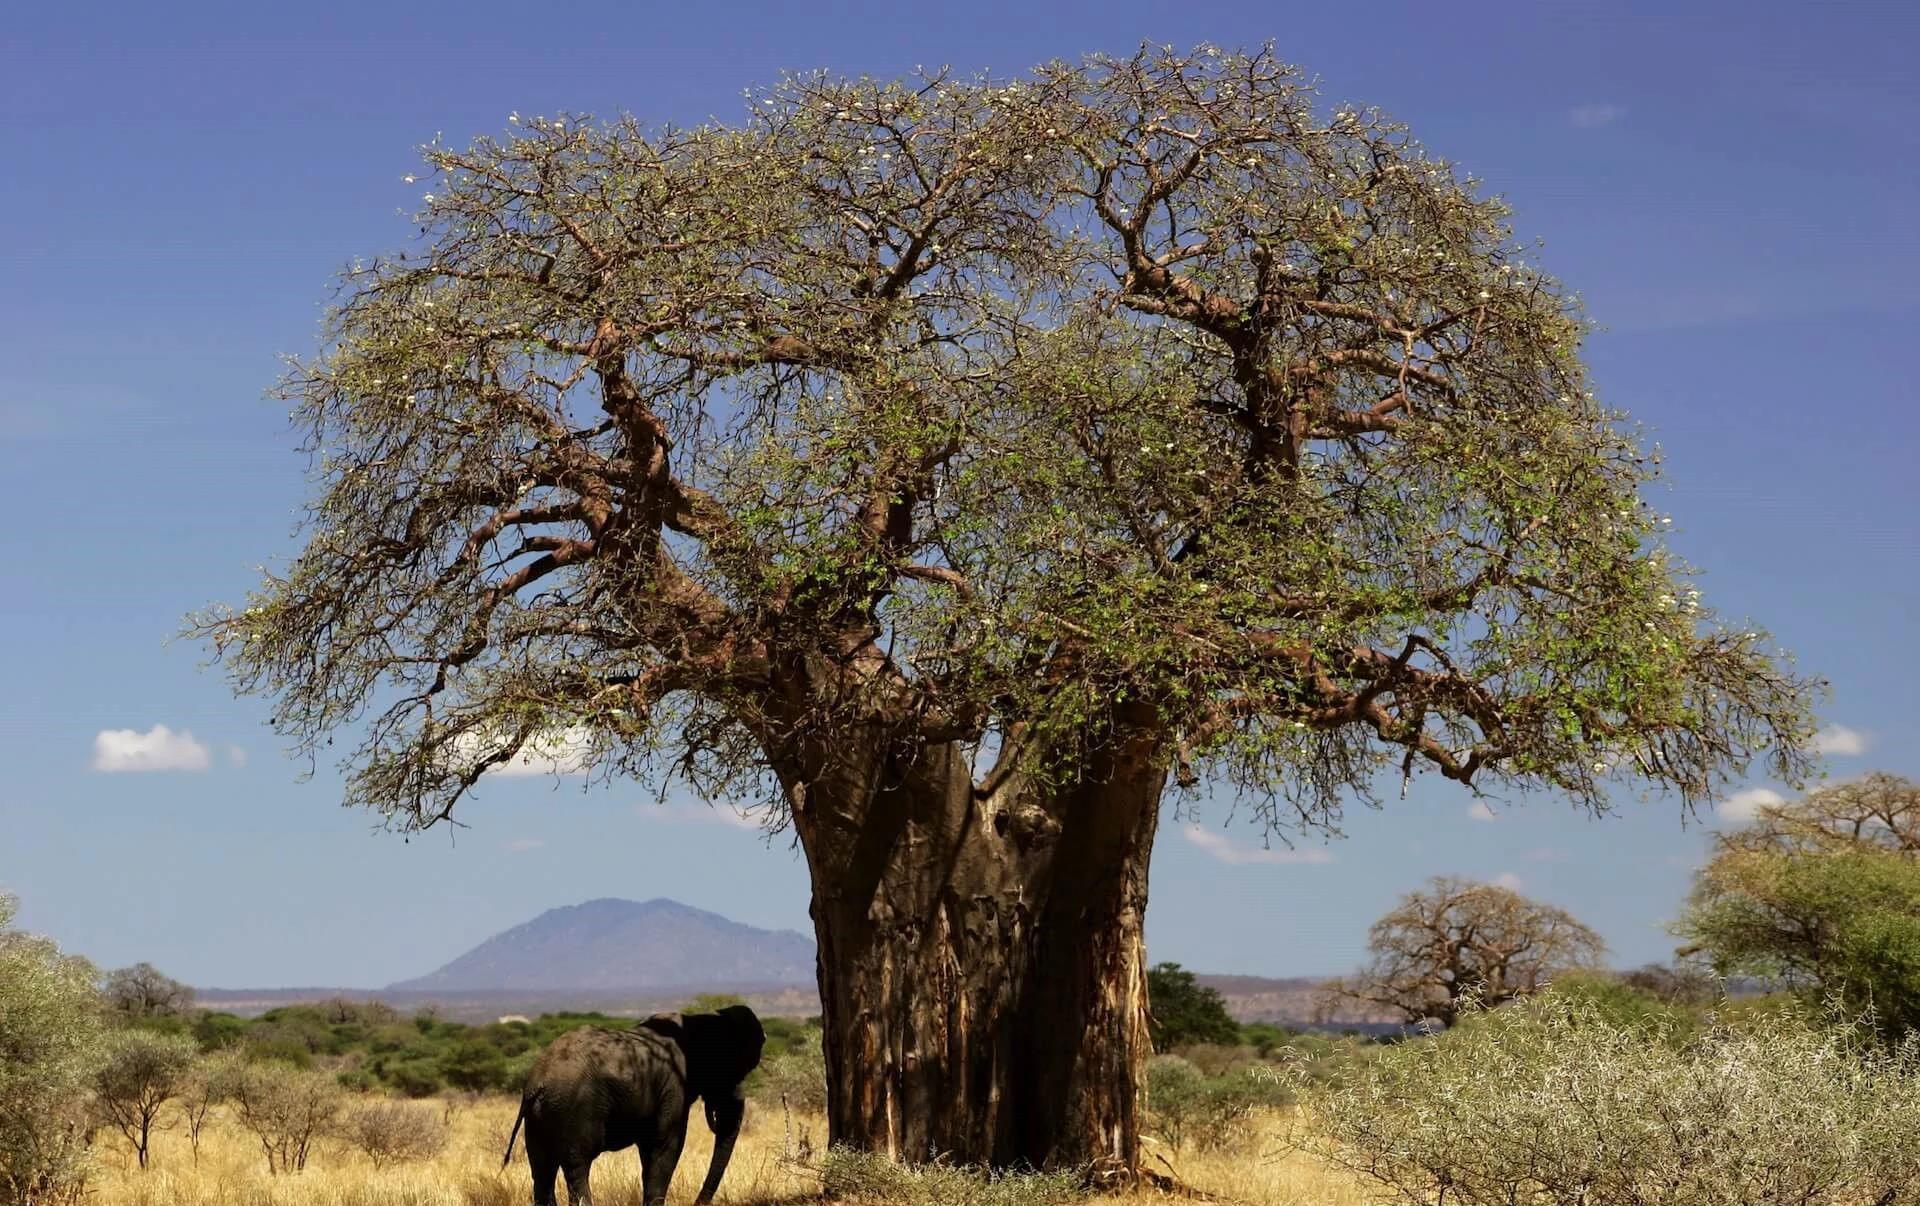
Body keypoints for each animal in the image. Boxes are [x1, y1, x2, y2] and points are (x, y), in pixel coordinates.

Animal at [506, 998, 768, 1206]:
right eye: (731, 1069)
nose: (697, 1203)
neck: (699, 1022)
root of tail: (537, 1082)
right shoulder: (673, 1086)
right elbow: (666, 1147)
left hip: (539, 1115)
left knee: (541, 1169)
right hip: (574, 1108)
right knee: (576, 1166)